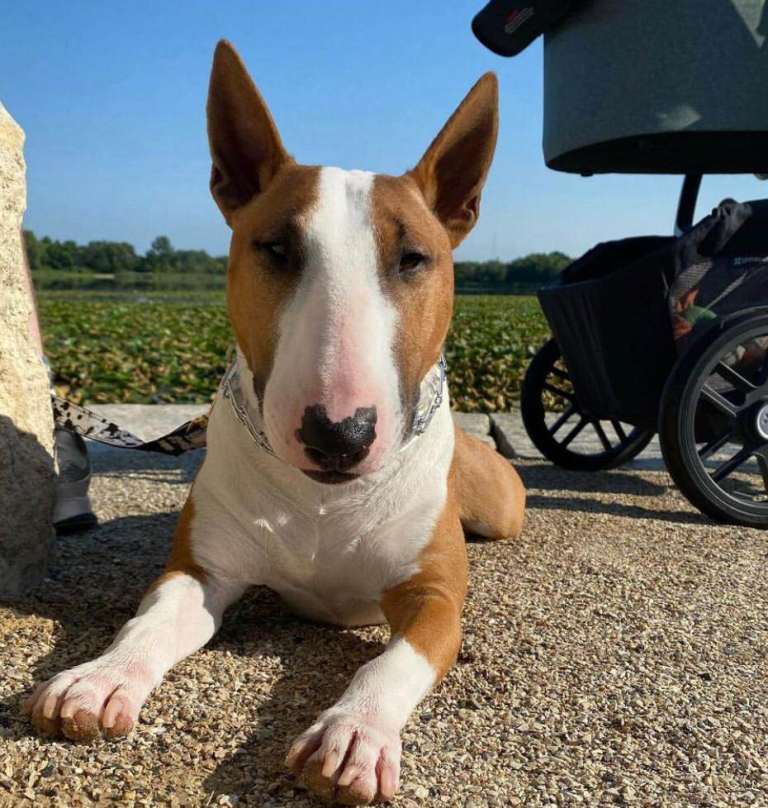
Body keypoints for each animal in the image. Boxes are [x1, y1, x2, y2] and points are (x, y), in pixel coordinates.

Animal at [25, 40, 526, 805]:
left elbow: (390, 663)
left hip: (501, 508)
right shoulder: (199, 571)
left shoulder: (434, 598)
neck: (322, 499)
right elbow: (148, 622)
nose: (338, 435)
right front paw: (101, 680)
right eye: (277, 250)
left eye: (413, 258)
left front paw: (354, 735)